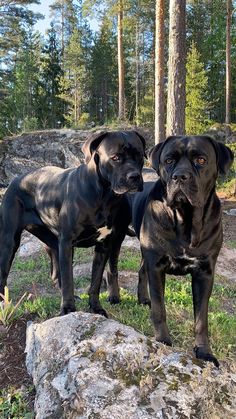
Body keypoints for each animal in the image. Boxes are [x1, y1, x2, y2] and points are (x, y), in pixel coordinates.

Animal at [0, 130, 146, 316]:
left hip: (56, 241)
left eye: (140, 155)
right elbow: (69, 280)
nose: (135, 176)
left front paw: (96, 308)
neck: (103, 195)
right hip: (9, 242)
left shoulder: (103, 245)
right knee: (4, 275)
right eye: (115, 158)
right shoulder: (67, 243)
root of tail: (16, 179)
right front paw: (68, 309)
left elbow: (95, 281)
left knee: (58, 272)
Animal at [117, 136, 233, 366]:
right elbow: (159, 309)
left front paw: (204, 352)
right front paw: (162, 341)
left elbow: (201, 319)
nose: (180, 176)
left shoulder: (204, 273)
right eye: (169, 160)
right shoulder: (156, 266)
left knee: (141, 270)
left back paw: (143, 298)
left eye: (201, 160)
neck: (185, 220)